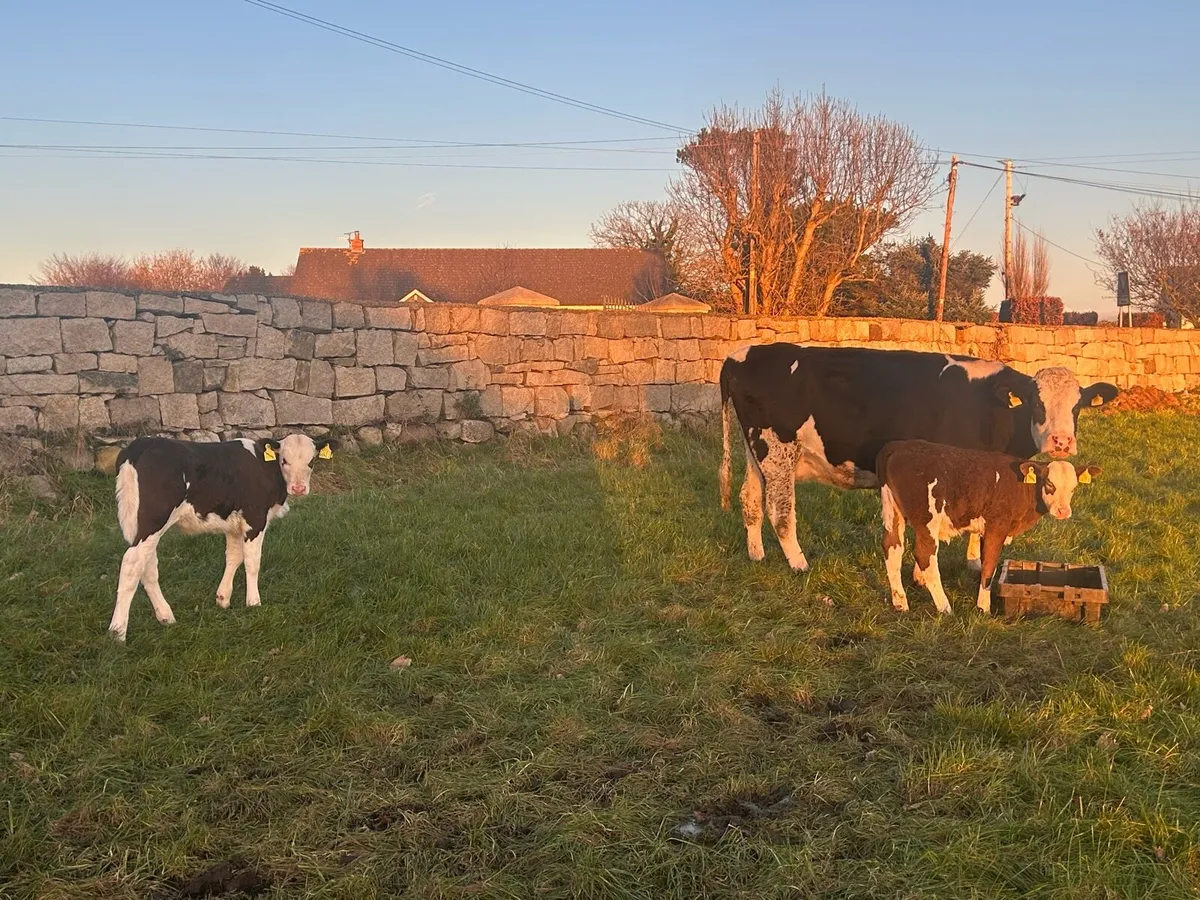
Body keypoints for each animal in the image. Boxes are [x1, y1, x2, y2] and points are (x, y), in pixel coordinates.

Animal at [108, 433, 338, 642]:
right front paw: (253, 603)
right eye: (284, 461)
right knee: (132, 563)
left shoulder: (234, 524)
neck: (267, 470)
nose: (298, 488)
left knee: (147, 565)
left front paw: (223, 598)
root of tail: (140, 444)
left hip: (138, 524)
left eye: (311, 461)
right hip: (154, 519)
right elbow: (252, 562)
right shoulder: (255, 519)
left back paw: (165, 616)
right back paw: (117, 632)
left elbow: (234, 557)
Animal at [718, 344, 1116, 573]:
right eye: (1036, 401)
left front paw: (973, 562)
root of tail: (739, 355)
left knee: (750, 499)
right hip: (777, 449)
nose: (1061, 441)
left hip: (758, 453)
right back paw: (799, 563)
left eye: (1077, 405)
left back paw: (757, 554)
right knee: (780, 511)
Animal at [876, 439, 1100, 615]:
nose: (1063, 511)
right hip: (927, 520)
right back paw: (945, 607)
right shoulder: (997, 527)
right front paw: (983, 607)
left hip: (894, 512)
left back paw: (900, 602)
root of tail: (898, 446)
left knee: (892, 548)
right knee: (925, 555)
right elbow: (989, 565)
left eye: (1073, 488)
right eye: (1050, 484)